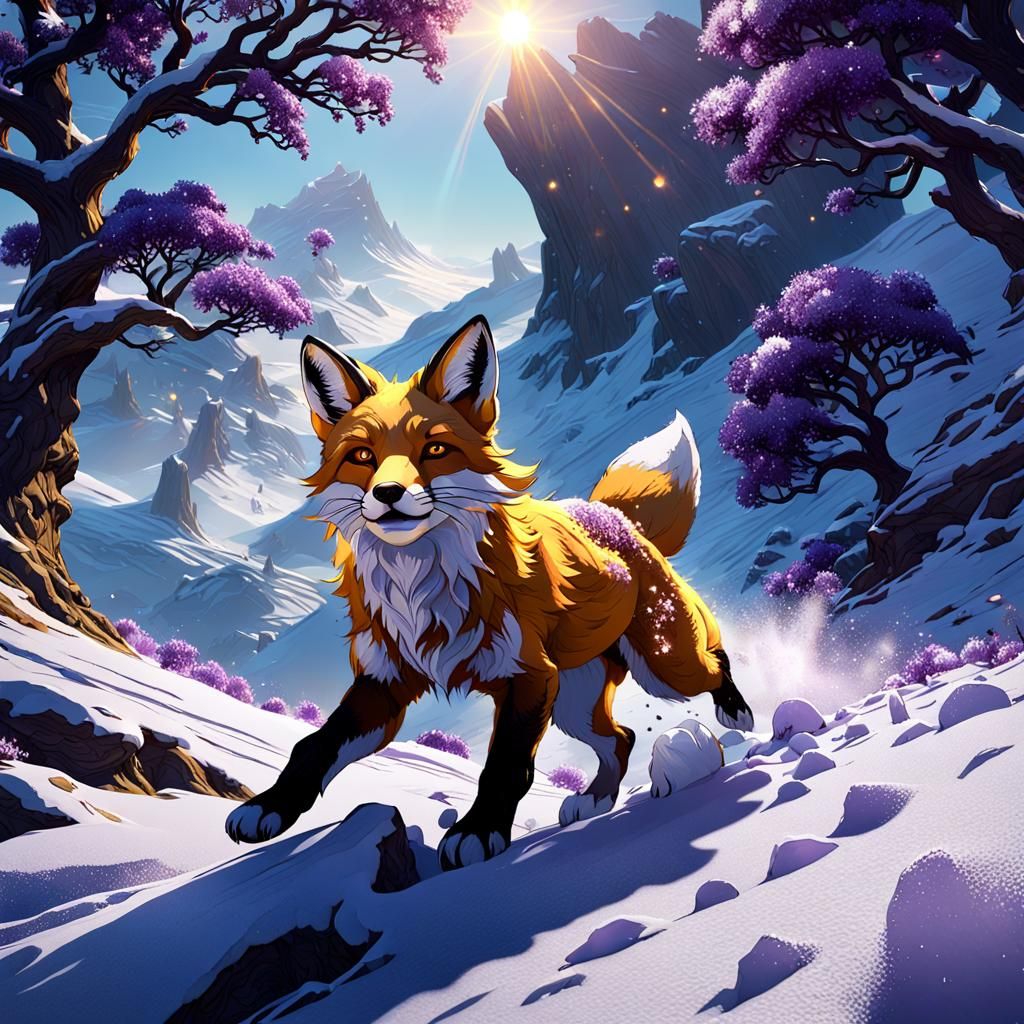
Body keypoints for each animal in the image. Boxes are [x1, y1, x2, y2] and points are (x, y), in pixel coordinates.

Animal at [225, 315, 754, 869]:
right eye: (362, 457)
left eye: (435, 449)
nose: (388, 494)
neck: (421, 587)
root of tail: (613, 517)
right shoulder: (384, 683)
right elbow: (313, 747)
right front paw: (270, 806)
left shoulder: (526, 676)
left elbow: (504, 764)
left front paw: (478, 831)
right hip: (573, 702)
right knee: (621, 738)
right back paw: (594, 798)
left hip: (663, 667)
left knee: (713, 662)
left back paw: (735, 709)